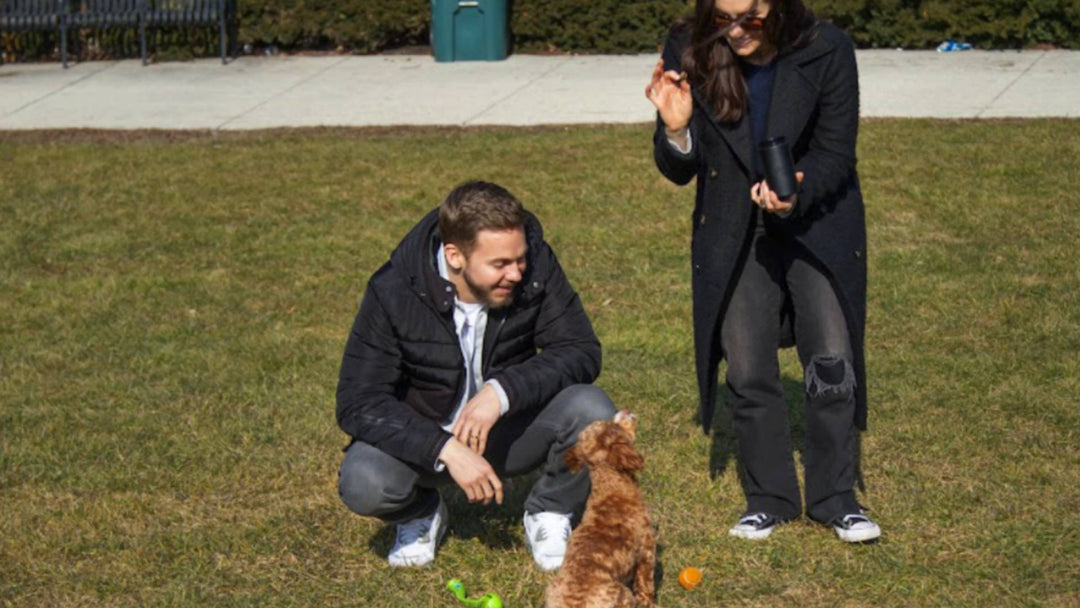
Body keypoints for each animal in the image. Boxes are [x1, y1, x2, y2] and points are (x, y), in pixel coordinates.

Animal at [548, 412, 656, 604]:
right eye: (615, 426)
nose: (624, 411)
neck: (612, 486)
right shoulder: (647, 548)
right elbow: (646, 585)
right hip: (622, 594)